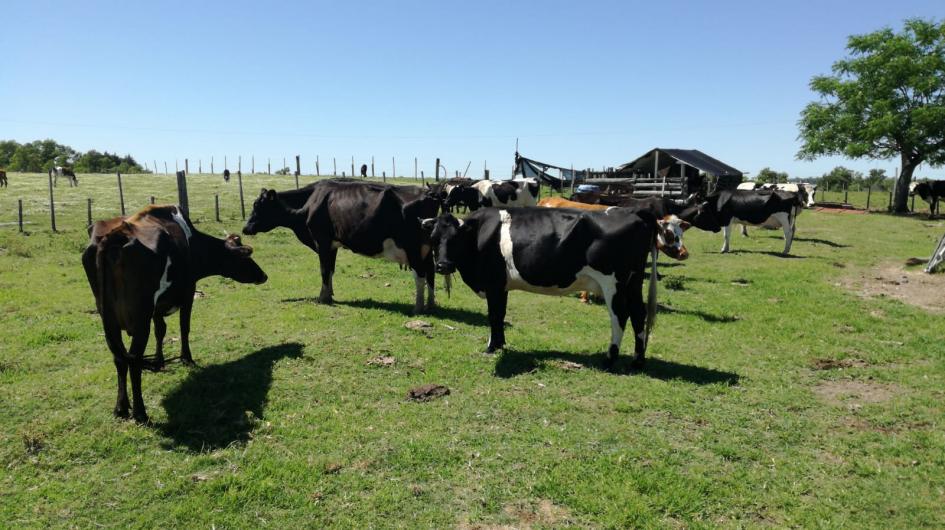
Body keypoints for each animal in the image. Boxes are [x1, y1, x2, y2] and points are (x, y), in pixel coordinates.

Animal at [81, 204, 268, 418]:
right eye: (246, 258)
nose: (264, 275)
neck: (192, 245)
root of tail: (116, 235)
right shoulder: (188, 292)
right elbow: (184, 328)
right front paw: (187, 358)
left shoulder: (157, 309)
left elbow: (160, 331)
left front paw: (159, 360)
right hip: (140, 319)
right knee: (134, 361)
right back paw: (140, 412)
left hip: (109, 321)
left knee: (119, 358)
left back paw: (121, 407)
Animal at [240, 179, 438, 314]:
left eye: (258, 205)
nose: (245, 228)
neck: (310, 201)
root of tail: (429, 192)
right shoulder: (333, 244)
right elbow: (330, 269)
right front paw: (329, 293)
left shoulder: (322, 240)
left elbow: (323, 269)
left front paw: (322, 298)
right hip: (427, 250)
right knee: (430, 273)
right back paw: (430, 304)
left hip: (413, 248)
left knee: (420, 275)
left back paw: (418, 308)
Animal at [418, 206, 684, 368]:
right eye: (433, 239)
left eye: (456, 239)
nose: (442, 265)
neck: (480, 236)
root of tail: (635, 211)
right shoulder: (501, 286)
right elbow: (500, 315)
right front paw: (500, 344)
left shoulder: (493, 283)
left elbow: (493, 316)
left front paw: (491, 348)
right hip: (633, 282)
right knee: (639, 315)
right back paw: (637, 361)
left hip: (614, 282)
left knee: (621, 316)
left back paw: (609, 358)